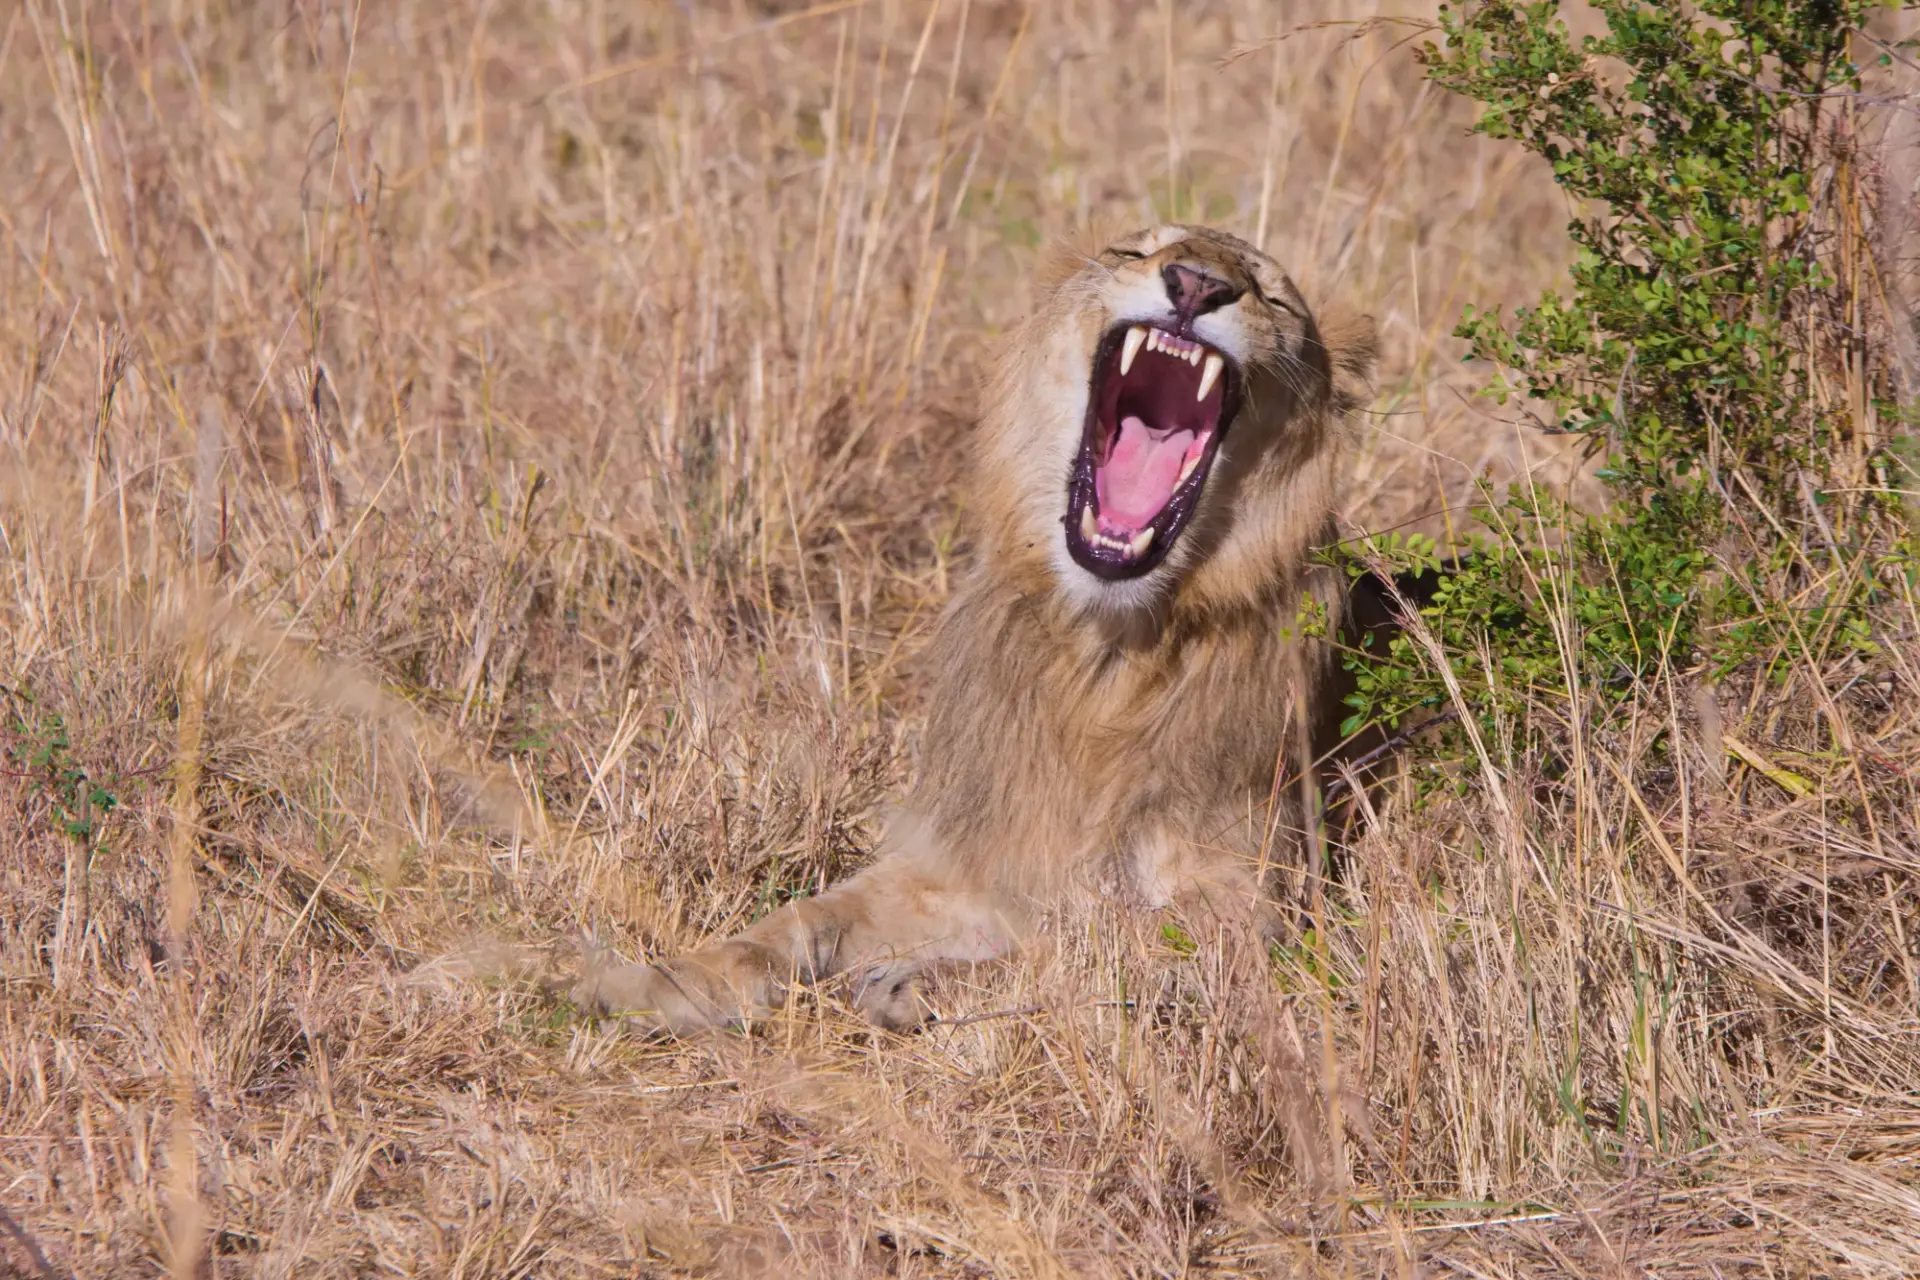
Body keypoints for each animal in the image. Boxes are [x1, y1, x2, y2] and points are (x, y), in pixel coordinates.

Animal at [574, 223, 1382, 1033]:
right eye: (1133, 251)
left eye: (1271, 294)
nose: (1195, 285)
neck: (1105, 652)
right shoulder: (954, 864)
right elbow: (799, 921)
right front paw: (646, 981)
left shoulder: (1253, 913)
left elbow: (1089, 949)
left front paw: (919, 983)